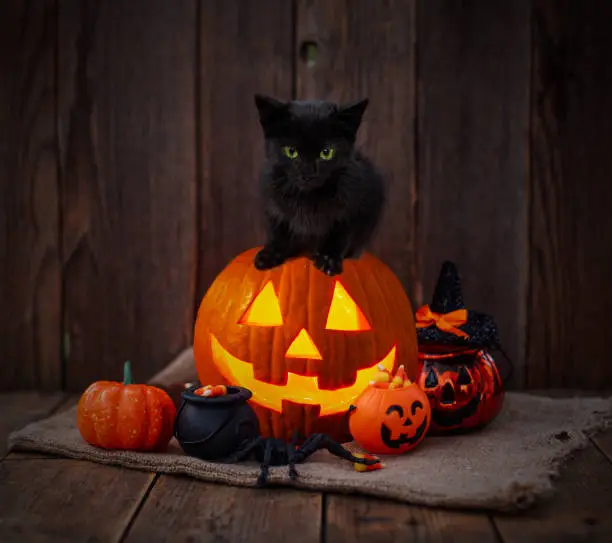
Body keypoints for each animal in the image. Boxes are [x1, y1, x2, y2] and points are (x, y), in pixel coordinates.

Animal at [251, 93, 384, 276]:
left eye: (326, 153)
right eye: (291, 151)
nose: (308, 175)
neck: (308, 199)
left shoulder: (356, 204)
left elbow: (343, 233)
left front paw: (328, 258)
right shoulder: (272, 201)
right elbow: (277, 229)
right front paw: (269, 254)